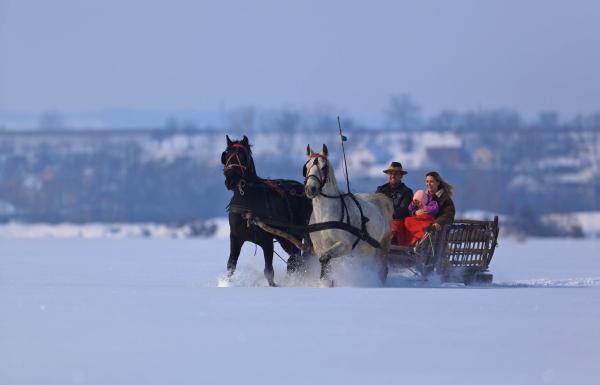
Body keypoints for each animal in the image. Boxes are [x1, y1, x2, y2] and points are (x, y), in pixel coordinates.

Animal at [221, 135, 314, 284]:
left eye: (242, 156)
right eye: (226, 155)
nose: (230, 180)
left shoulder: (267, 240)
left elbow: (269, 272)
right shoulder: (235, 237)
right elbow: (231, 265)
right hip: (287, 237)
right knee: (296, 257)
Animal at [304, 144, 394, 284]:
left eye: (324, 167)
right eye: (306, 166)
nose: (310, 189)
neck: (324, 217)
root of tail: (382, 198)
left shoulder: (345, 245)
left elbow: (325, 258)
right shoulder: (319, 247)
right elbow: (325, 262)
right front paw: (326, 282)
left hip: (383, 246)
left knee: (382, 268)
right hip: (365, 249)